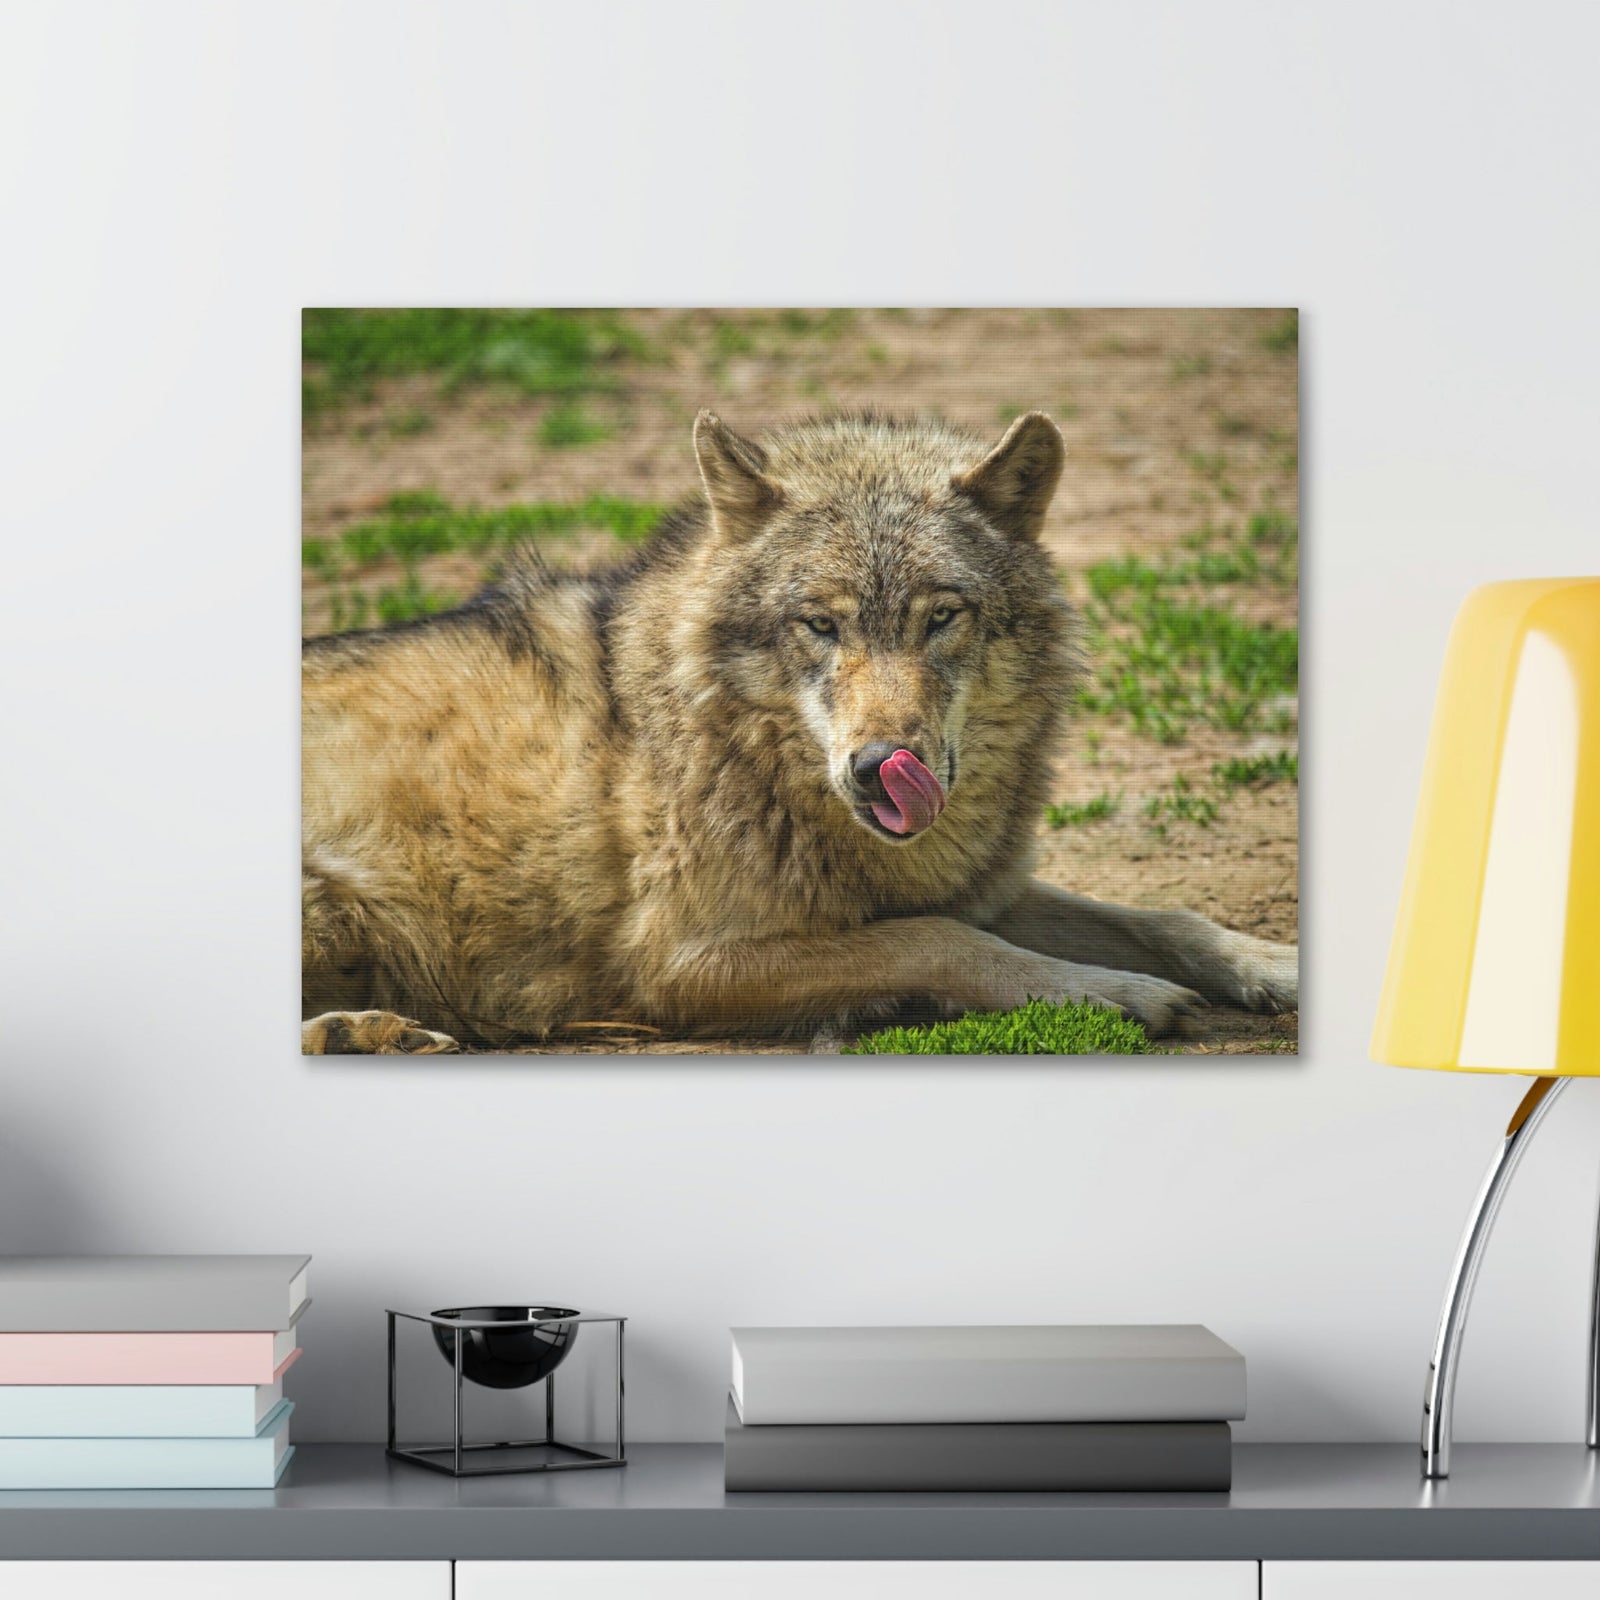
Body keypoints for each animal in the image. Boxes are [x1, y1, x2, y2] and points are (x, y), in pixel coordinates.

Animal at [302, 409, 1297, 1053]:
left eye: (942, 617)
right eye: (821, 624)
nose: (879, 767)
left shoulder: (982, 887)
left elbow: (1165, 916)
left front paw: (1274, 966)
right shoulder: (680, 965)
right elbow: (941, 942)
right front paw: (1111, 997)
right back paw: (358, 1033)